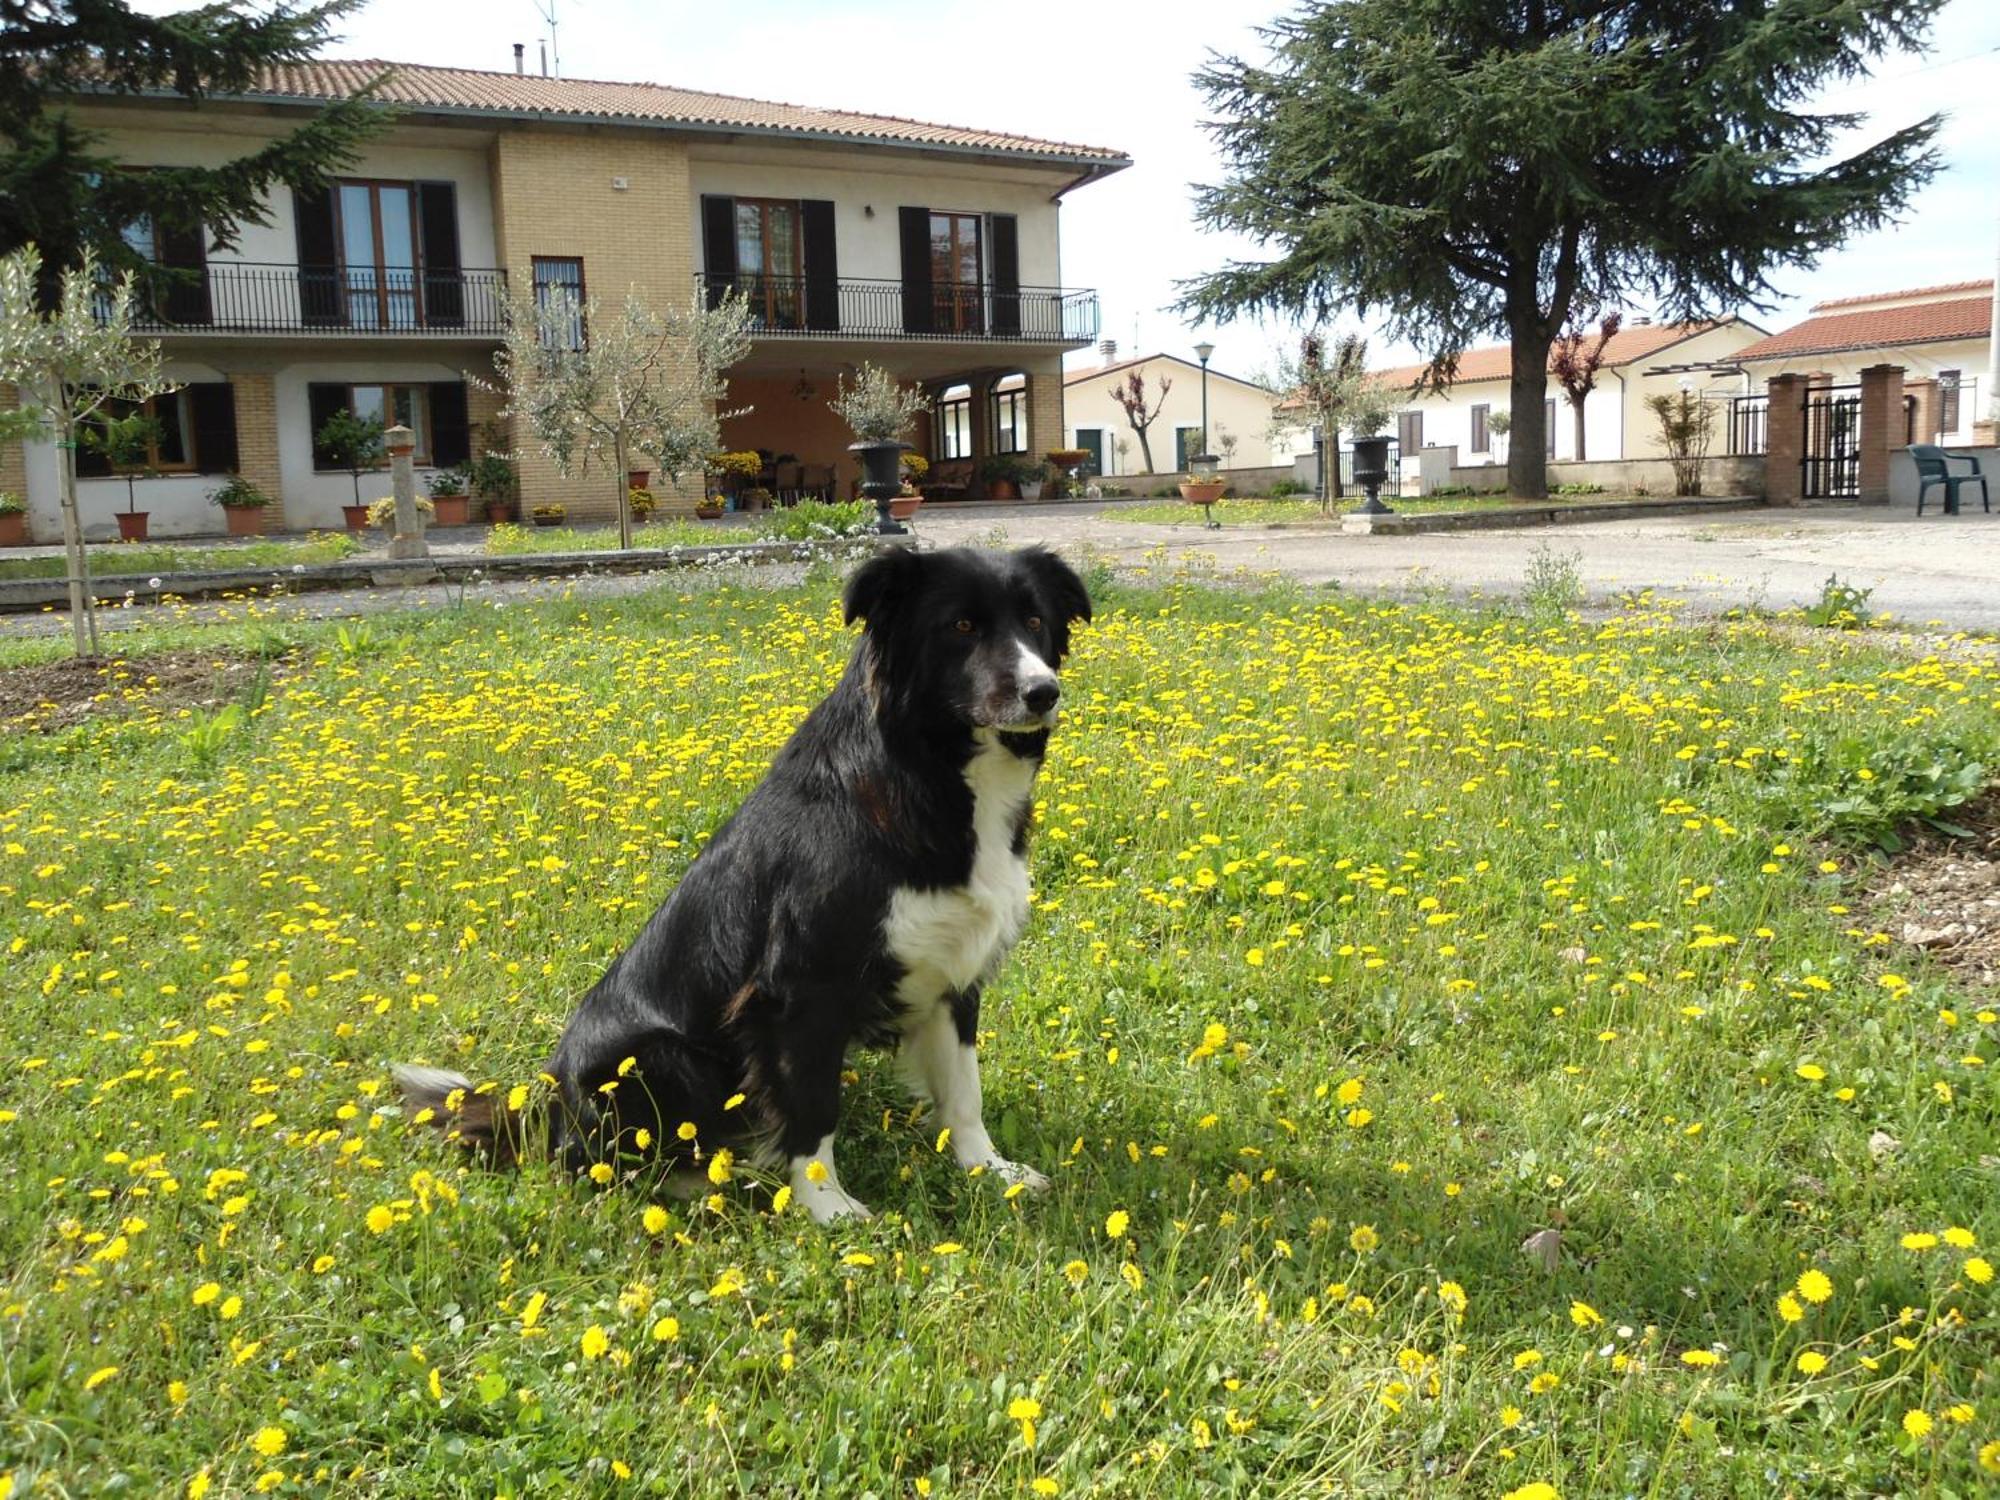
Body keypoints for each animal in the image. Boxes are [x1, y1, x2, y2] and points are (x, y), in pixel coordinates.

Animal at [396, 548, 1088, 1224]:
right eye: (961, 626)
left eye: (1034, 622)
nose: (1043, 692)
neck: (930, 773)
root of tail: (545, 1109)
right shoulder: (799, 989)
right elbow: (811, 1109)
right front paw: (828, 1208)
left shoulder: (955, 965)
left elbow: (963, 1091)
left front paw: (991, 1171)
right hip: (660, 1057)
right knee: (607, 1160)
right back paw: (706, 1180)